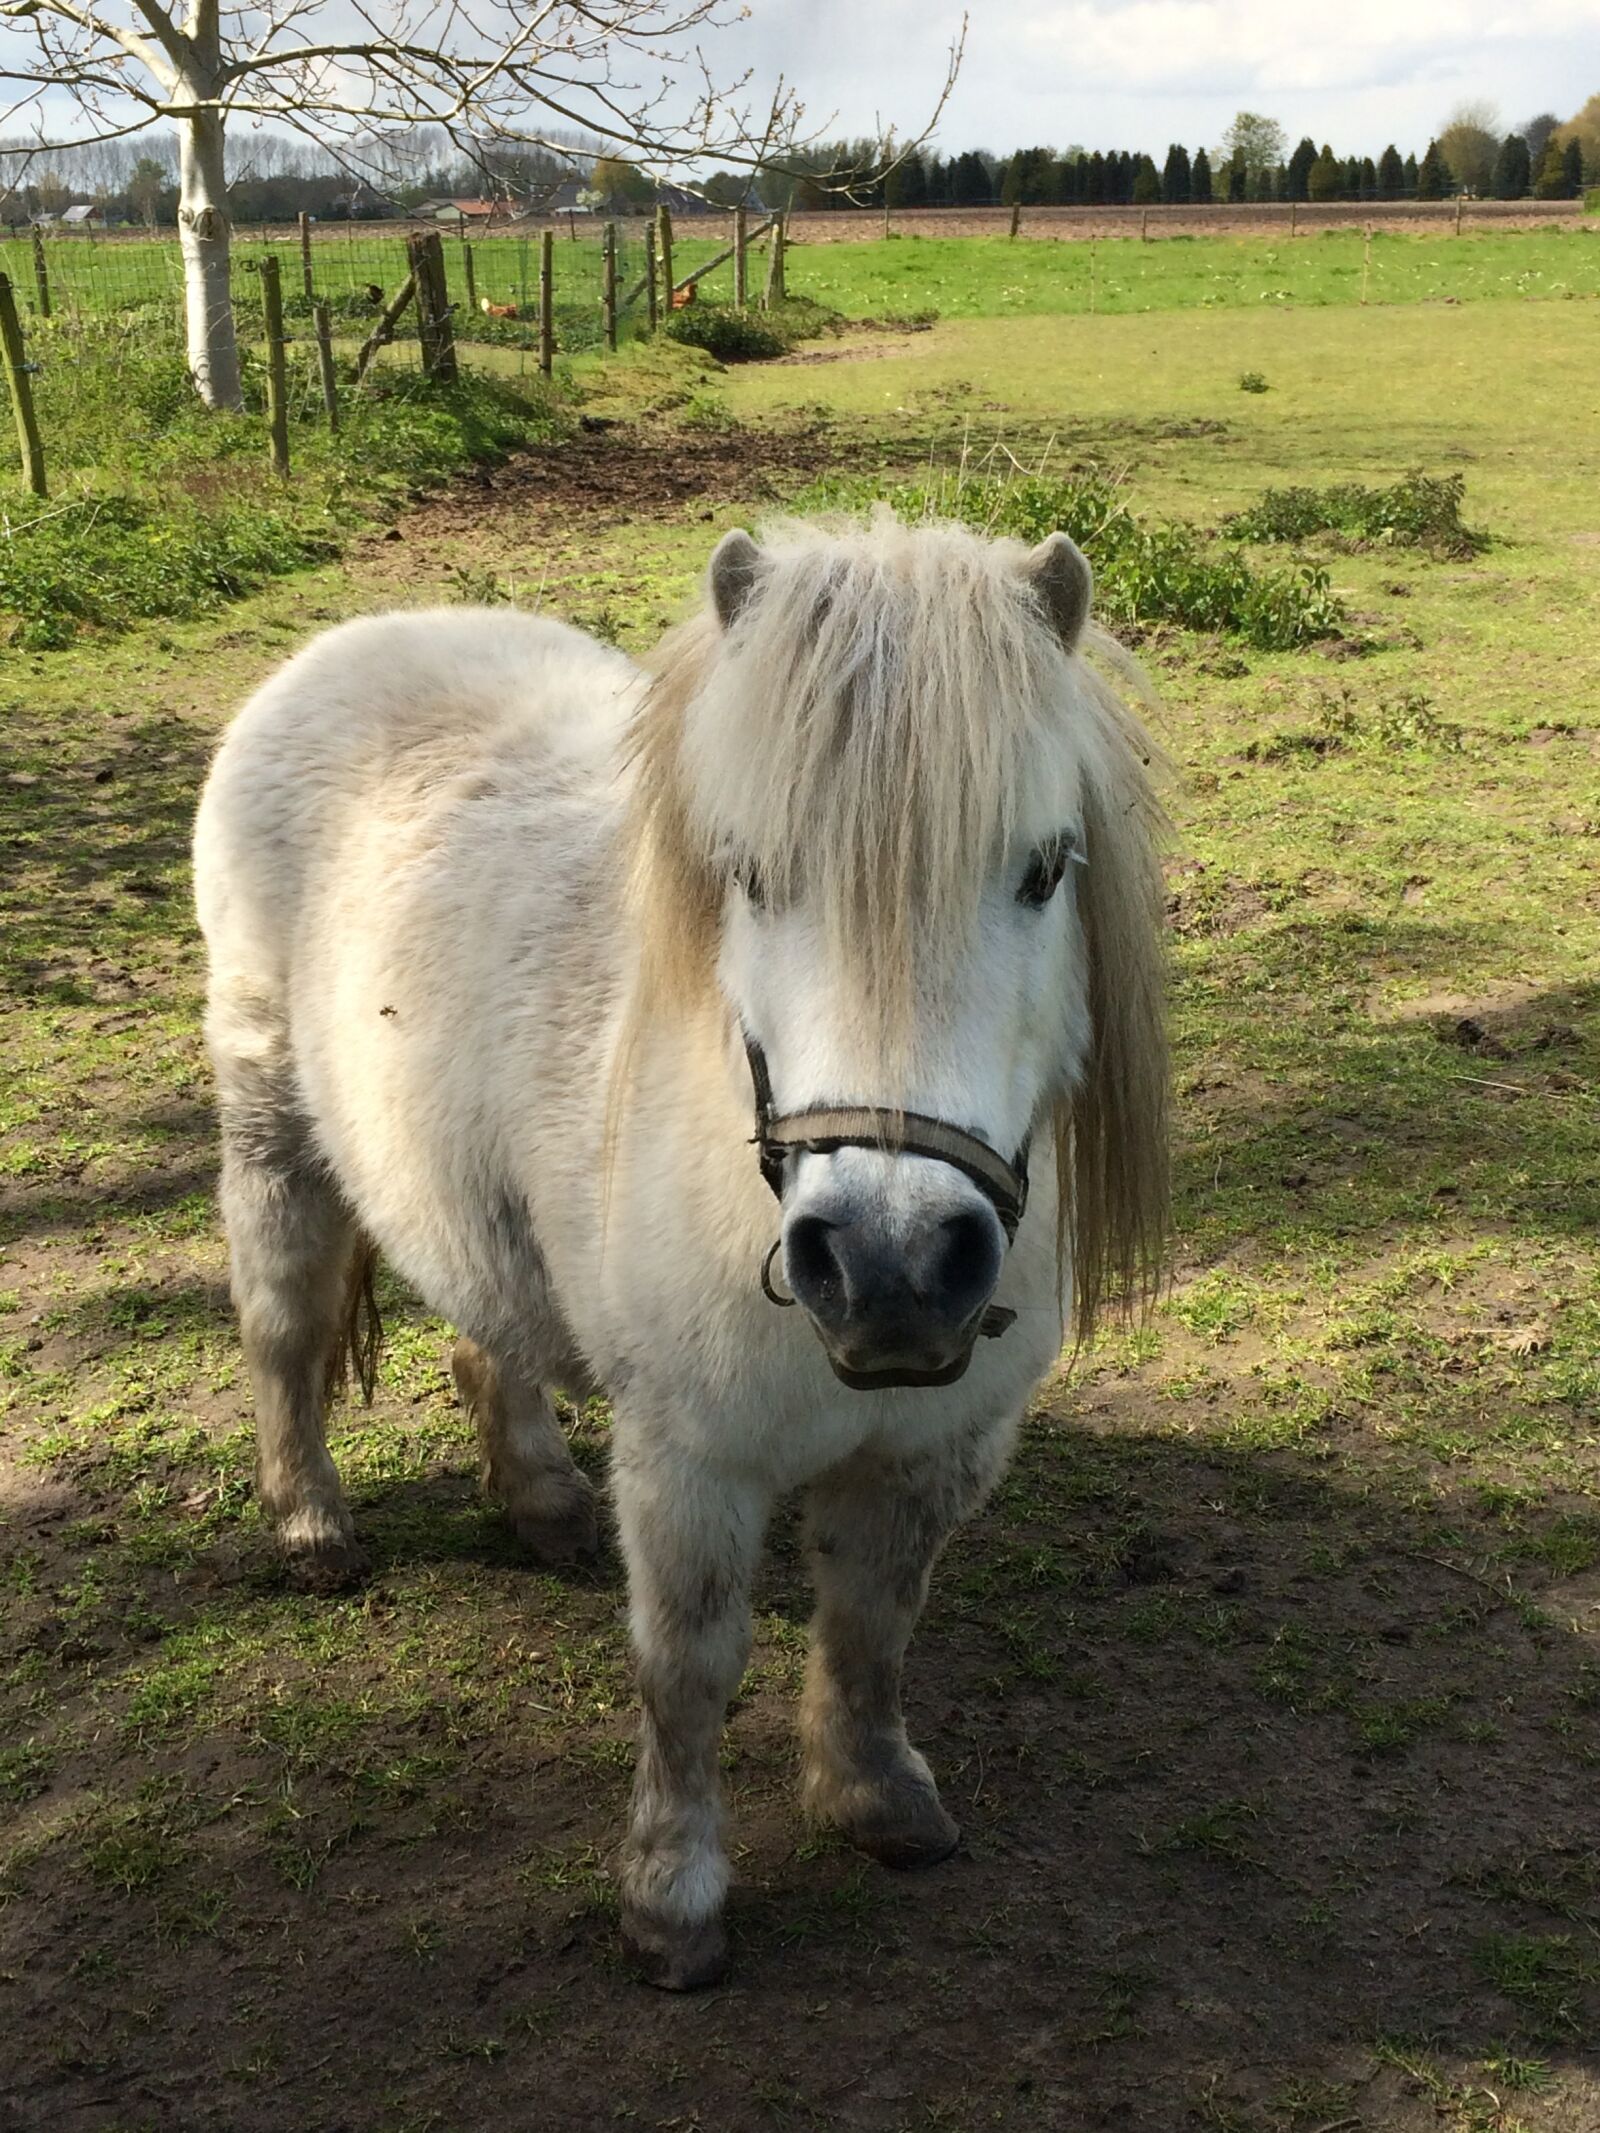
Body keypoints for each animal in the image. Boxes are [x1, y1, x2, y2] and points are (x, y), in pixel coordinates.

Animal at [192, 512, 1169, 1989]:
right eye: (750, 872)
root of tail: (364, 639)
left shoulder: (934, 1451)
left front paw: (874, 1797)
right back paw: (310, 1523)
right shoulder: (692, 1461)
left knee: (491, 1332)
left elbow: (873, 1623)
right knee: (285, 1326)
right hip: (268, 1121)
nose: (890, 1267)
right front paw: (672, 1896)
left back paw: (540, 1500)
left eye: (1045, 868)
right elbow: (689, 1667)